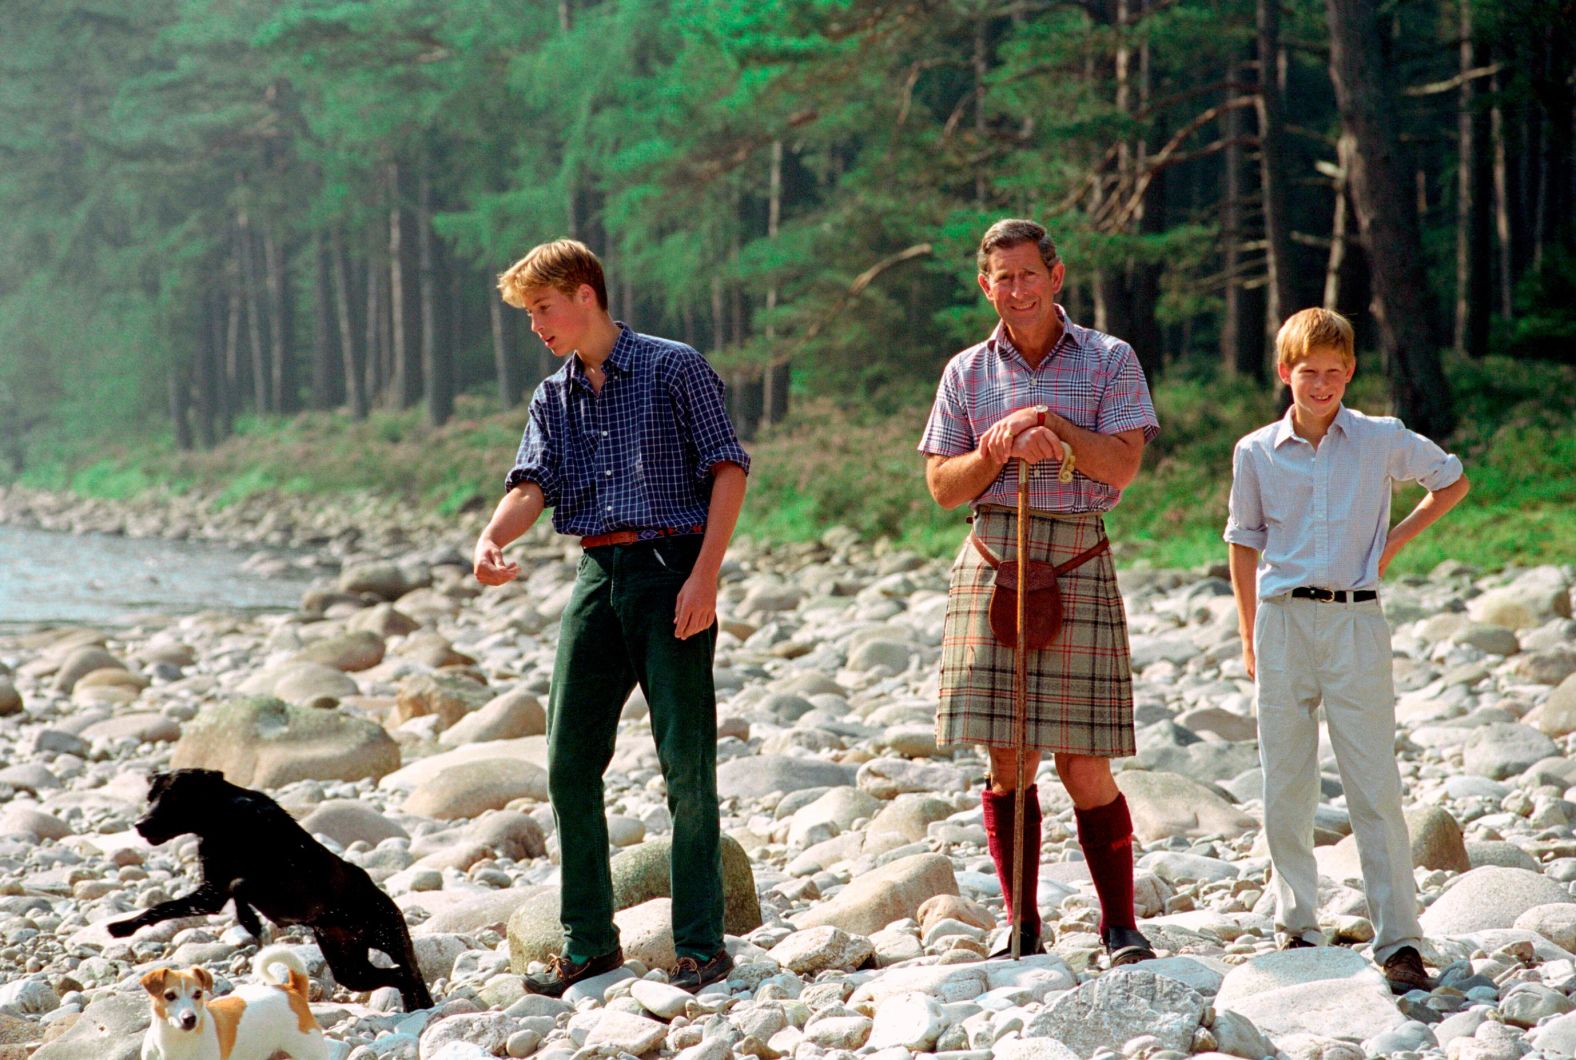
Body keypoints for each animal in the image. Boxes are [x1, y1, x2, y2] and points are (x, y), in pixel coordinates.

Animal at [107, 768, 434, 1008]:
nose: (140, 824)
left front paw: (250, 921)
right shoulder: (212, 892)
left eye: (172, 799)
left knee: (408, 972)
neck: (224, 817)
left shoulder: (258, 886)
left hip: (389, 935)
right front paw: (124, 927)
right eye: (150, 797)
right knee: (396, 976)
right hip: (350, 967)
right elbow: (163, 907)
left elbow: (239, 885)